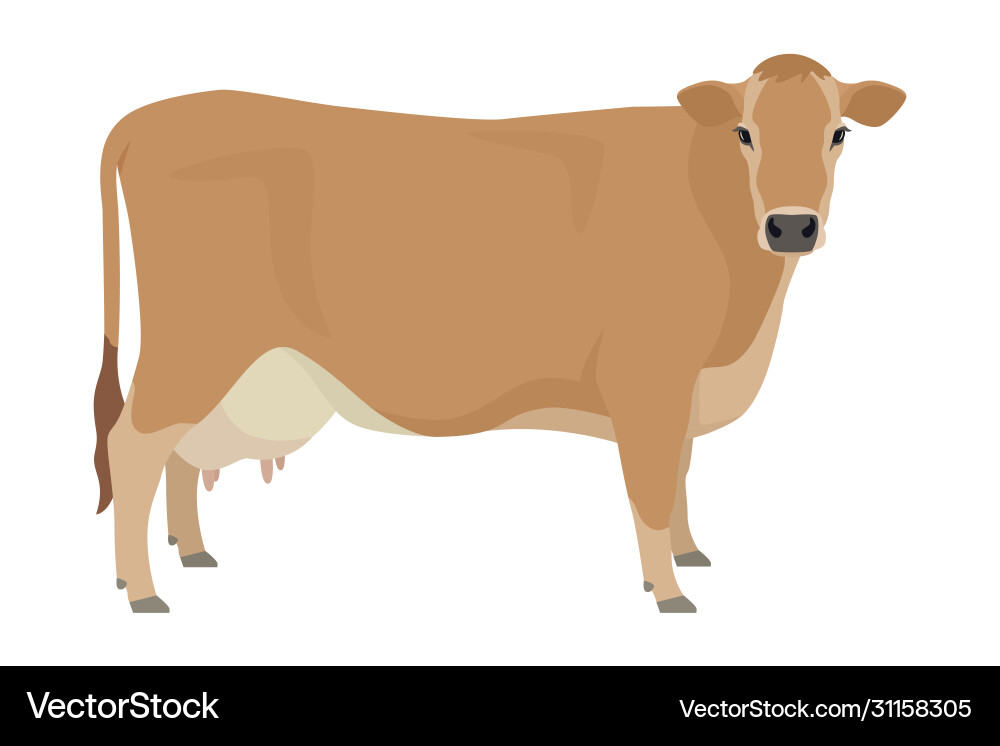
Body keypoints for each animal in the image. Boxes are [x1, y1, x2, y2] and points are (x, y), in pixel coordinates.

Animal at [94, 54, 904, 613]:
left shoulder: (683, 389)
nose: (792, 226)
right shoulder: (651, 376)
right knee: (135, 443)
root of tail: (147, 117)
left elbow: (677, 474)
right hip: (198, 340)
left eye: (840, 132)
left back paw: (192, 554)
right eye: (744, 132)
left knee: (178, 450)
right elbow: (649, 486)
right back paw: (143, 591)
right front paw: (669, 591)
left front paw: (688, 554)